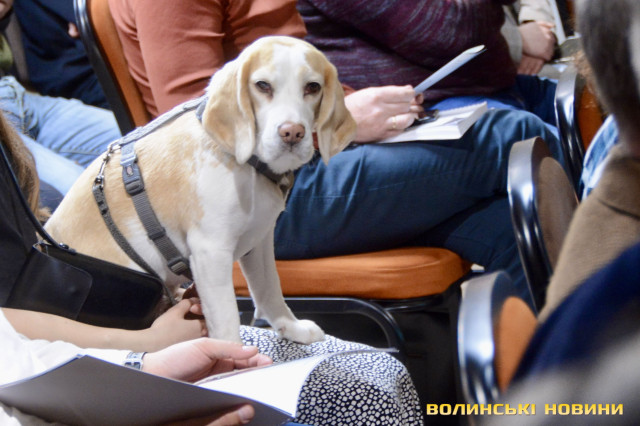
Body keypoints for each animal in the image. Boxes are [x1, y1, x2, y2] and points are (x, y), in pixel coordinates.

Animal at [44, 36, 357, 344]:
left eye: (313, 87)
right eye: (263, 85)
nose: (292, 133)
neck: (249, 168)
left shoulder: (259, 240)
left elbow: (270, 288)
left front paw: (290, 327)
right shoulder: (212, 252)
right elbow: (228, 324)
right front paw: (232, 358)